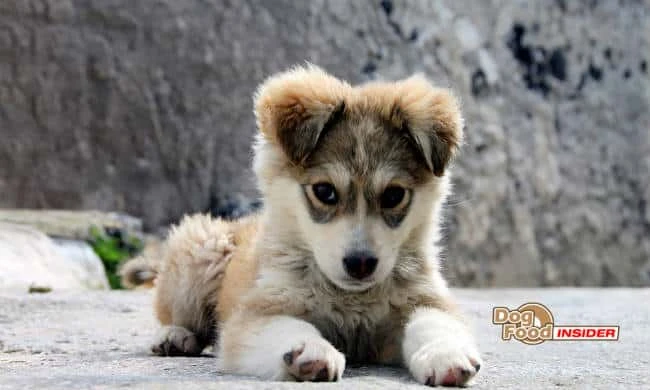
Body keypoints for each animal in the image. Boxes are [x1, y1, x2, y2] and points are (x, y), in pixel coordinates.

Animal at [120, 65, 480, 386]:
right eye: (324, 192)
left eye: (393, 195)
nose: (360, 264)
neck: (351, 299)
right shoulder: (257, 314)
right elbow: (289, 326)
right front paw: (310, 350)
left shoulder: (424, 300)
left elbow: (433, 324)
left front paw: (445, 354)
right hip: (200, 251)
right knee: (175, 314)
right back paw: (174, 335)